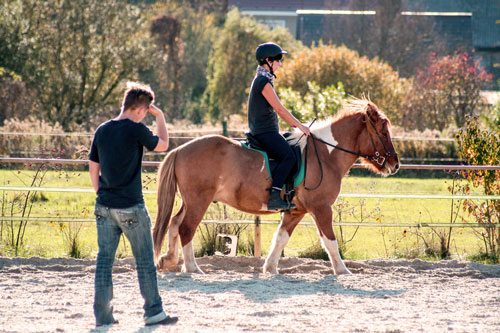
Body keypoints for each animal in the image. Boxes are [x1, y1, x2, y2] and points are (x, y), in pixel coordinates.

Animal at [152, 99, 398, 274]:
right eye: (383, 132)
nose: (395, 164)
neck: (325, 155)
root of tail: (180, 149)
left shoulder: (295, 211)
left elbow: (280, 239)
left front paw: (270, 268)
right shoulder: (321, 208)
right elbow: (330, 241)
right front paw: (342, 270)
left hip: (189, 201)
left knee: (174, 224)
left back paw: (168, 260)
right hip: (198, 201)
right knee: (186, 229)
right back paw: (192, 267)